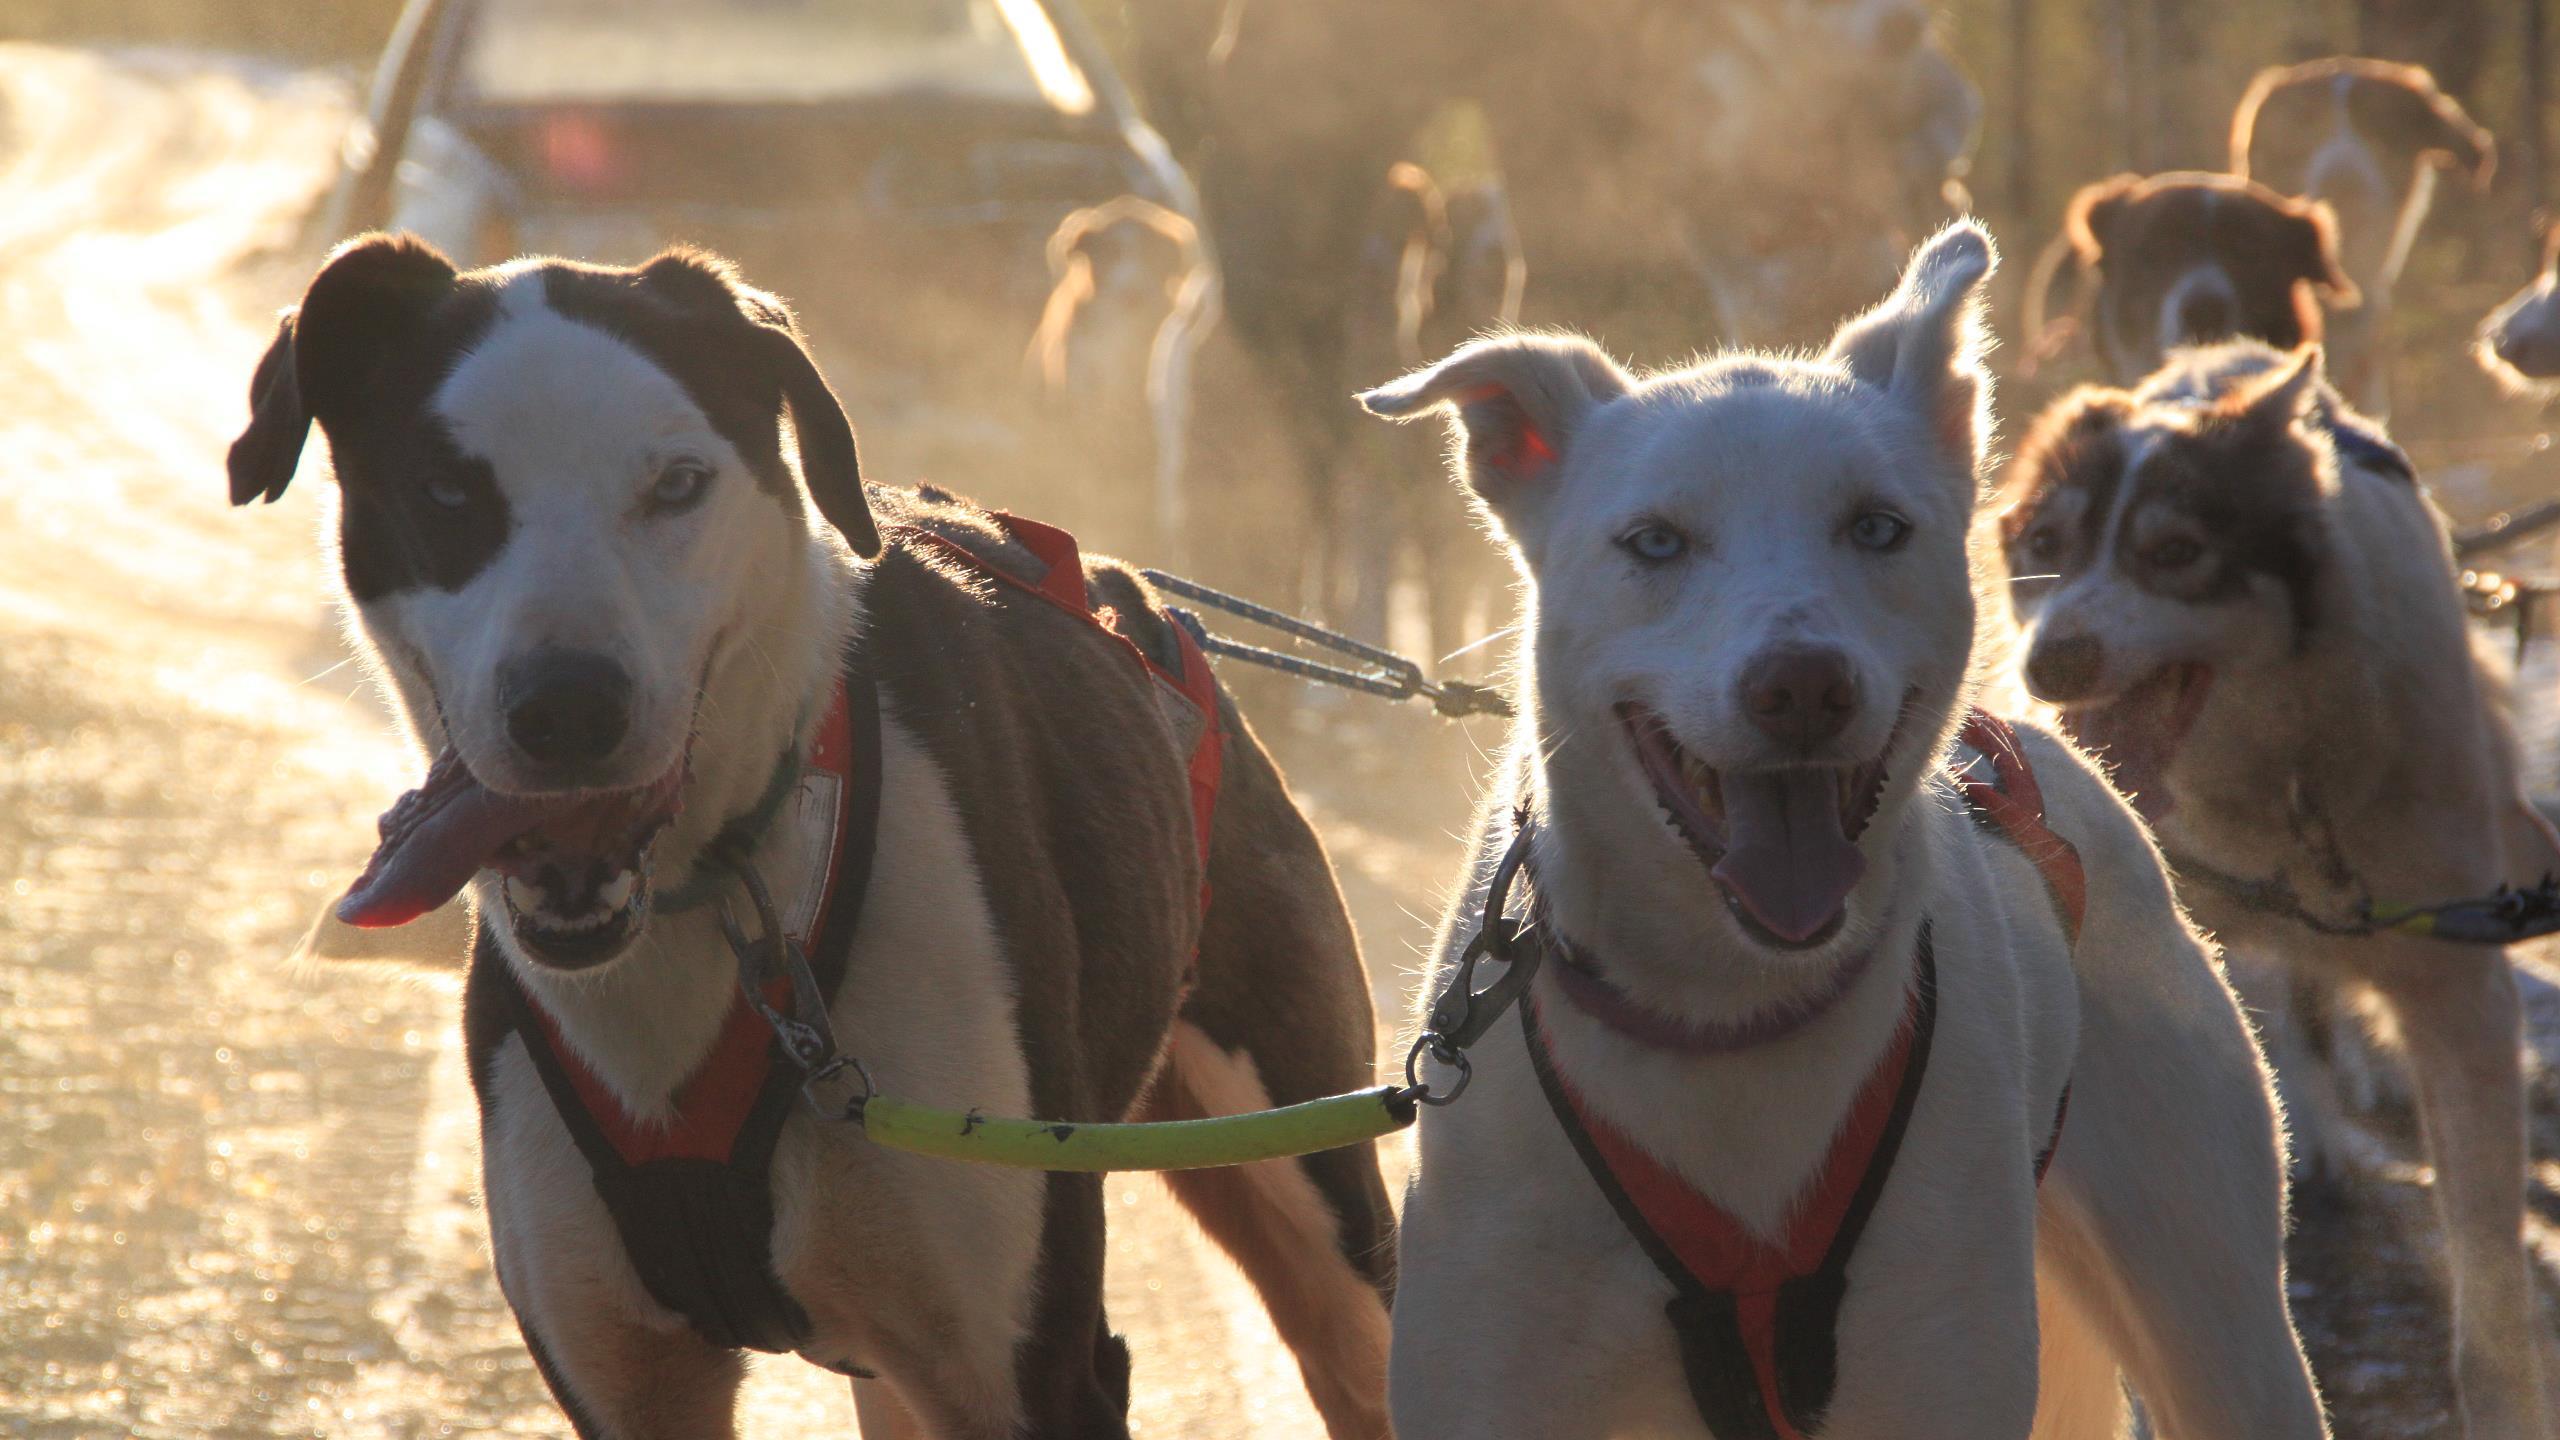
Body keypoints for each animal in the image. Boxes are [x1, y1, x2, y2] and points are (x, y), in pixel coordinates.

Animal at [225, 235, 1402, 1434]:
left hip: (1314, 1201)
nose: (567, 709)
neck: (735, 897)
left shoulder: (1034, 1370)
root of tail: (1146, 605)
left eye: (677, 483)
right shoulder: (626, 1379)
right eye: (447, 488)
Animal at [2007, 340, 2549, 1424]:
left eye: (2174, 551)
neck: (2280, 783)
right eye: (2044, 542)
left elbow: (2487, 1287)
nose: (2050, 665)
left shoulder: (2459, 988)